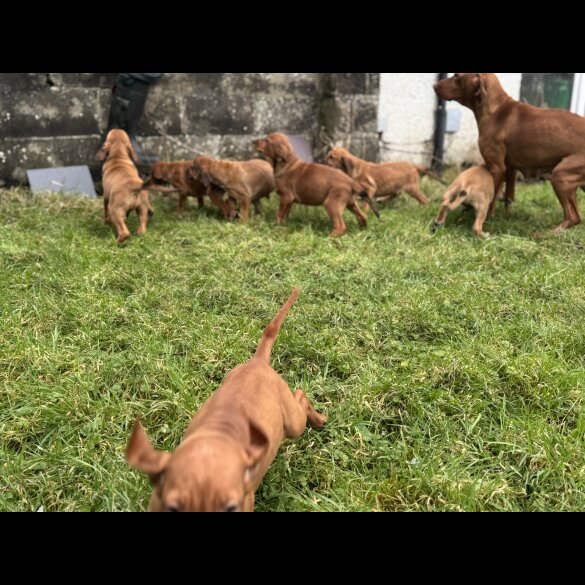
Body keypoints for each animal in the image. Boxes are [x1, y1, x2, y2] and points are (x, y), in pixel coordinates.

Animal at [126, 288, 326, 512]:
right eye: (174, 509)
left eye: (231, 509)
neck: (218, 434)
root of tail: (258, 361)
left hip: (293, 423)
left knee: (300, 395)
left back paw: (318, 419)